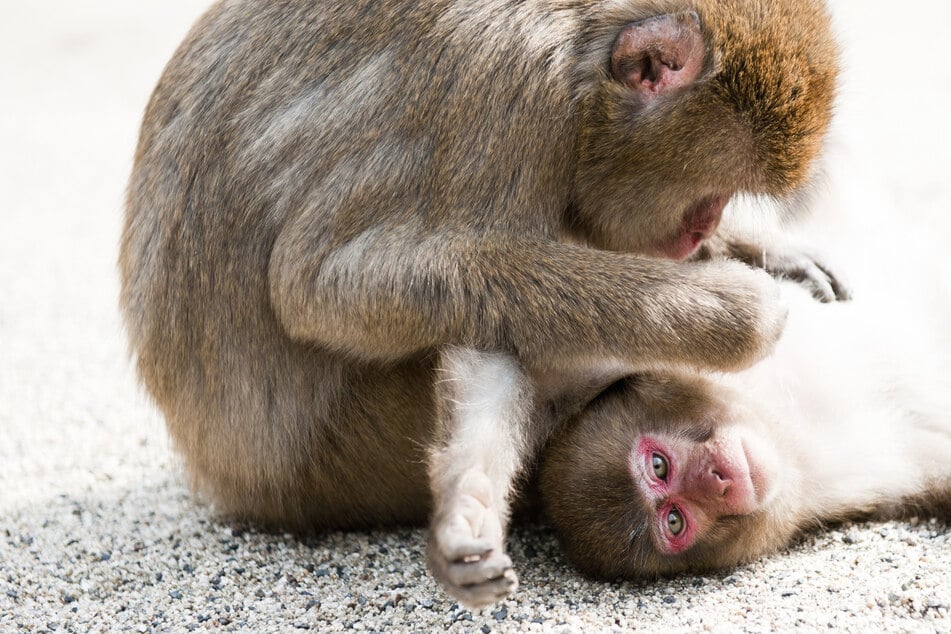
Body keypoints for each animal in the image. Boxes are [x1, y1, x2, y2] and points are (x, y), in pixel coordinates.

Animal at [122, 0, 844, 604]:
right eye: (711, 191)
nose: (702, 229)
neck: (579, 55)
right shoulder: (508, 101)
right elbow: (320, 285)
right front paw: (730, 309)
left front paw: (765, 251)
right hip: (355, 455)